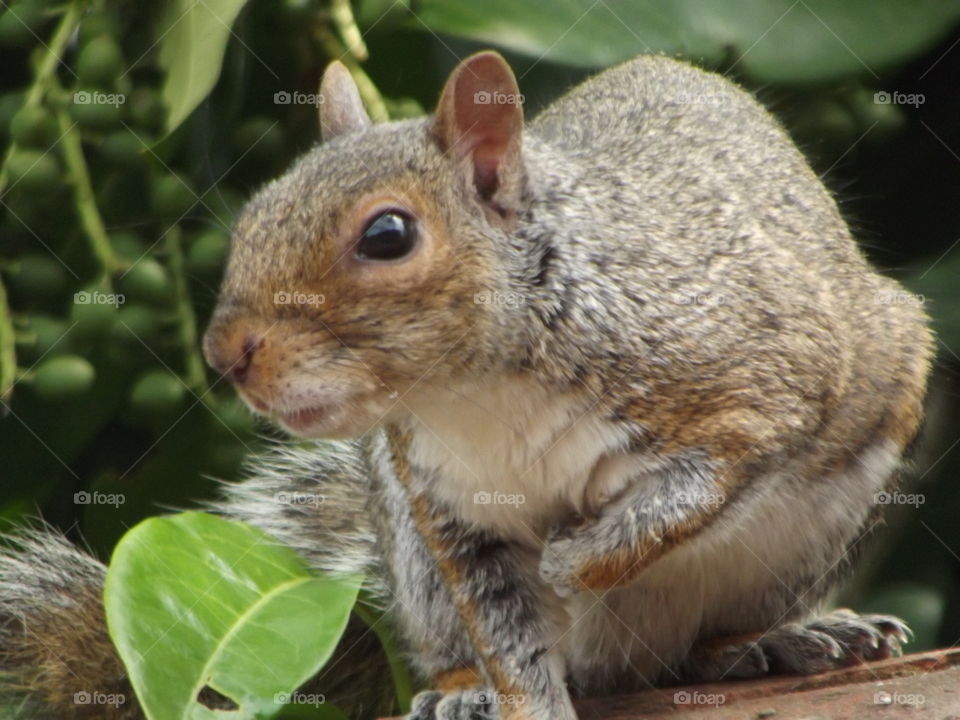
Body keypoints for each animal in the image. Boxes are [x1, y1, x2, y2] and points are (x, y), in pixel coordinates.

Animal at [0, 52, 928, 720]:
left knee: (692, 648)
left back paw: (777, 641)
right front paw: (519, 697)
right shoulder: (449, 509)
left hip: (818, 520)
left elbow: (686, 496)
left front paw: (573, 558)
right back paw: (461, 692)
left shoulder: (759, 388)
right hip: (410, 554)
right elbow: (507, 634)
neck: (478, 389)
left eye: (387, 235)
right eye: (256, 214)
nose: (228, 354)